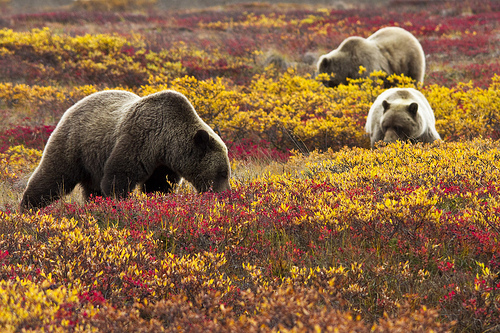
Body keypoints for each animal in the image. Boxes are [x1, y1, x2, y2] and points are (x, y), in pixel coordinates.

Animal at [19, 89, 230, 209]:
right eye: (222, 173)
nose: (225, 195)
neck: (165, 143)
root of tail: (75, 105)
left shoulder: (163, 165)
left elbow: (158, 186)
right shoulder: (139, 140)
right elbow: (118, 178)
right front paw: (118, 205)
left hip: (92, 161)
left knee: (90, 189)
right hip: (74, 143)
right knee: (54, 176)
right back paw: (28, 208)